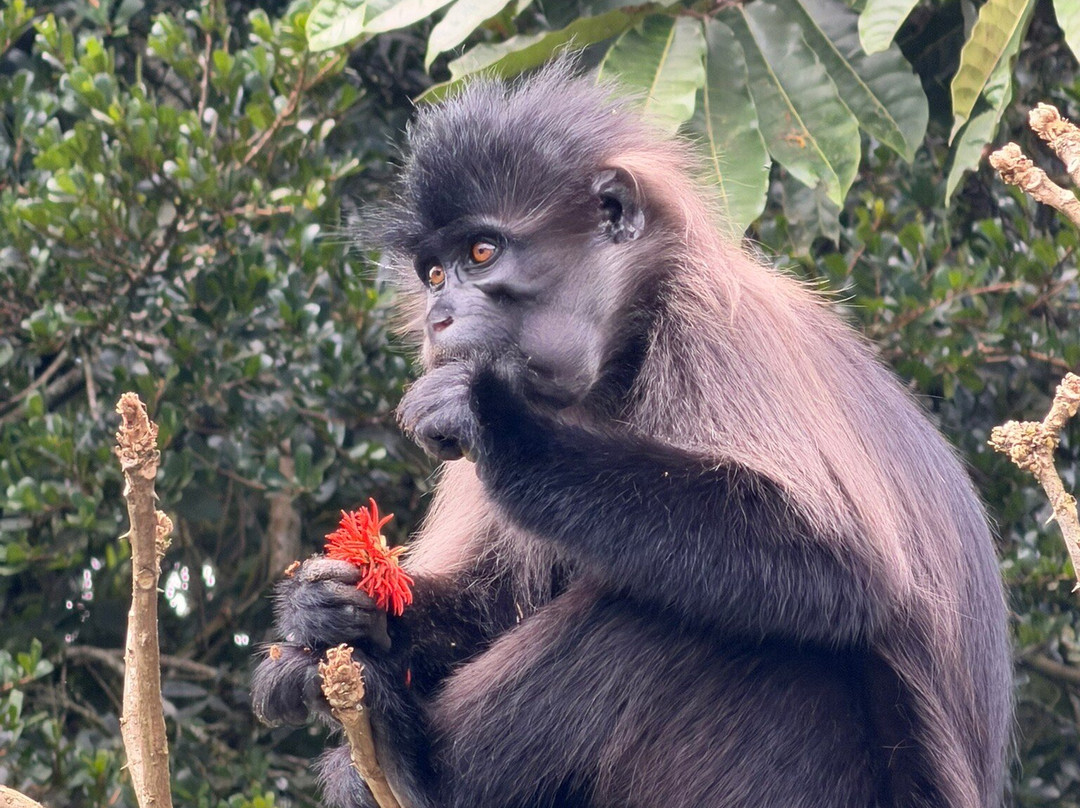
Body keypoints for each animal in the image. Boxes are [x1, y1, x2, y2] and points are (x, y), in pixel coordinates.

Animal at [251, 62, 1012, 808]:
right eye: (434, 274)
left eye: (481, 252)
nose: (440, 315)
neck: (621, 354)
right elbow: (491, 604)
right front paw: (325, 613)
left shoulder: (709, 322)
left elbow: (846, 568)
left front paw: (493, 422)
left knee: (665, 612)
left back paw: (416, 771)